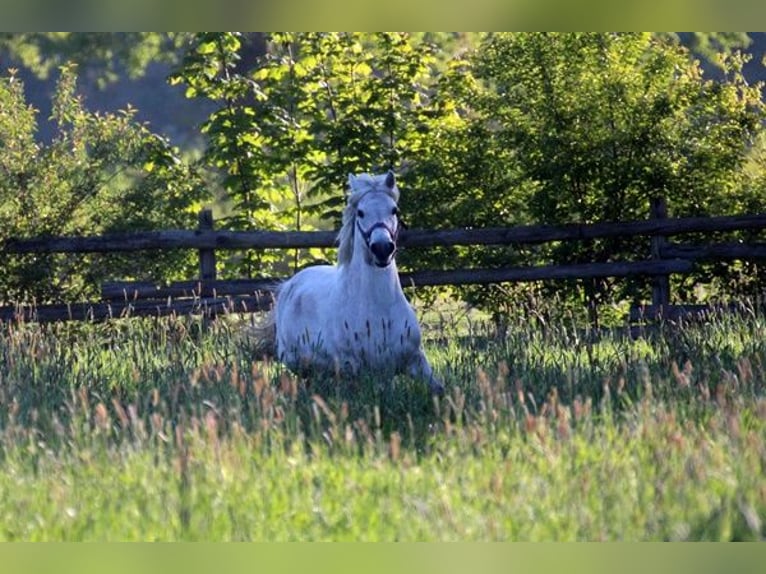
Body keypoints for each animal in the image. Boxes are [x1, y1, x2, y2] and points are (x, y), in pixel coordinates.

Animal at [264, 171, 444, 396]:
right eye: (360, 212)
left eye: (394, 210)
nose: (382, 248)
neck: (379, 309)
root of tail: (289, 284)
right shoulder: (356, 370)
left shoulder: (416, 361)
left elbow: (439, 389)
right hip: (299, 363)